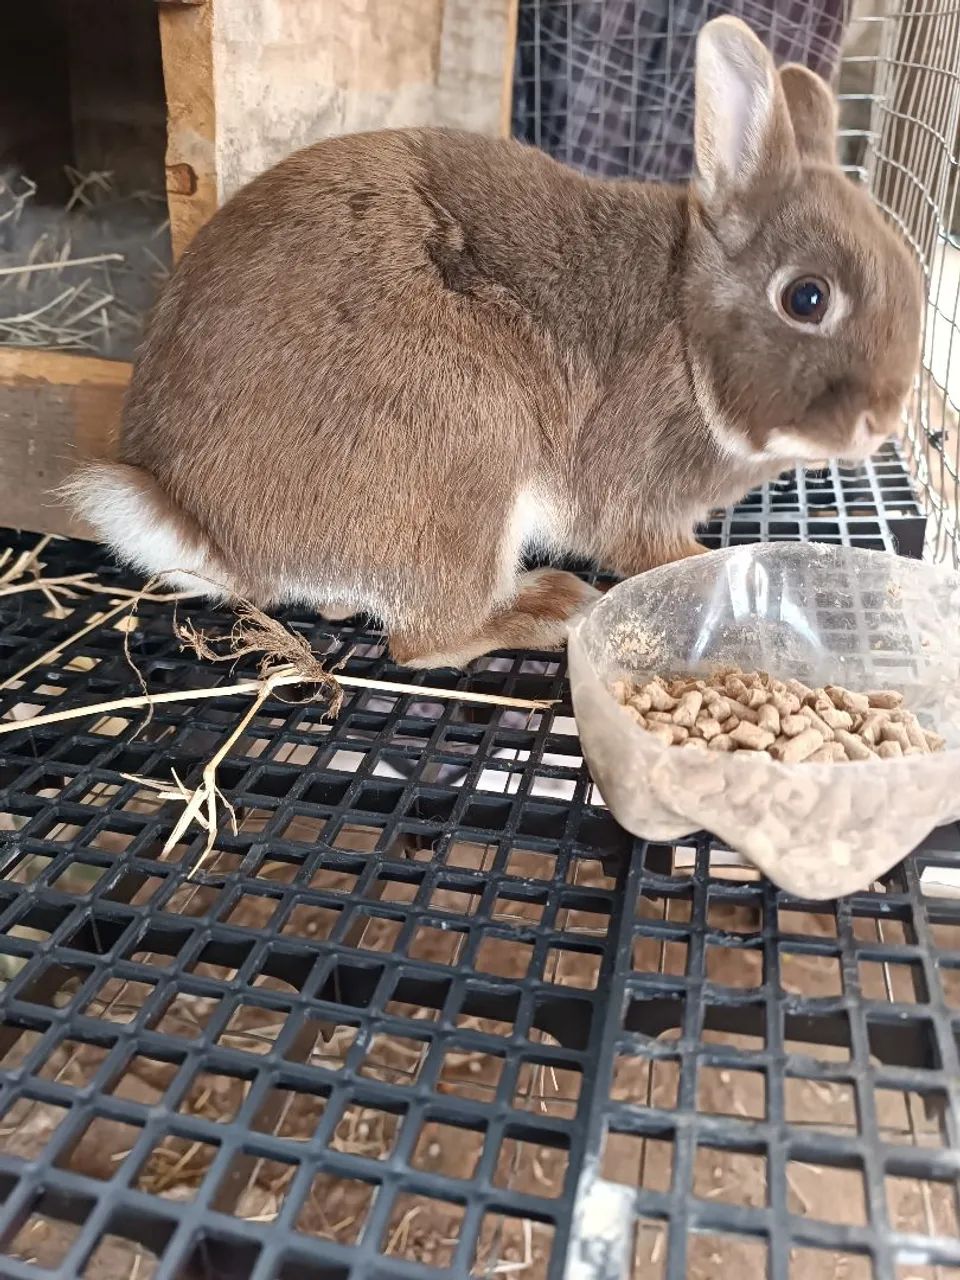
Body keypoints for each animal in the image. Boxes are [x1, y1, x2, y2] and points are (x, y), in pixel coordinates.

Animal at [65, 16, 922, 670]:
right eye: (806, 299)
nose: (882, 421)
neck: (688, 328)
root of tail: (208, 525)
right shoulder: (636, 491)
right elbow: (661, 553)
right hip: (468, 459)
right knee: (425, 641)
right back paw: (549, 609)